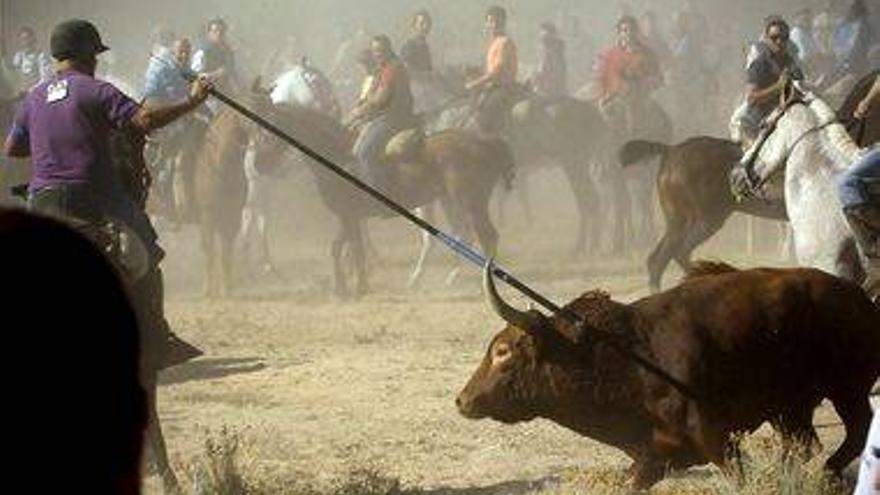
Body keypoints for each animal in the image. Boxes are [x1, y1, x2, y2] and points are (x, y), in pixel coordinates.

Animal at [264, 103, 520, 298]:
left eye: (270, 128)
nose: (261, 164)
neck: (337, 156)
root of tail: (483, 142)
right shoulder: (349, 218)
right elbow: (342, 248)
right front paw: (348, 288)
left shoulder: (348, 216)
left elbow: (350, 249)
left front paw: (353, 288)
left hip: (470, 203)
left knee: (484, 236)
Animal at [460, 262, 880, 490]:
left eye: (502, 351)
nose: (462, 400)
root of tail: (857, 294)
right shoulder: (654, 456)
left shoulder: (716, 439)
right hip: (791, 409)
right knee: (804, 445)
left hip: (846, 389)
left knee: (859, 428)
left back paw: (827, 474)